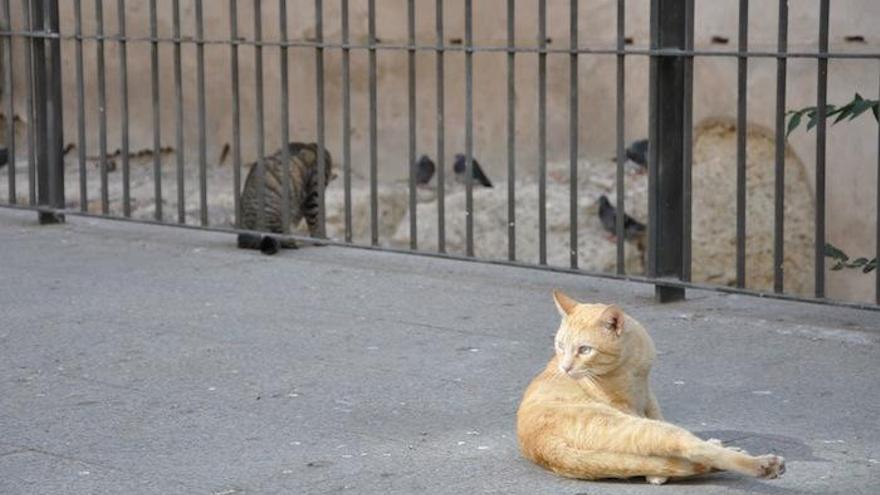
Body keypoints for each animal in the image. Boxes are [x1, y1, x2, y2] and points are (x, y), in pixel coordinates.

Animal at [512, 290, 788, 484]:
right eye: (560, 346)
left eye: (584, 350)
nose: (566, 368)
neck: (629, 363)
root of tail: (544, 446)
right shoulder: (626, 406)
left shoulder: (648, 393)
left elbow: (656, 412)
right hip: (634, 427)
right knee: (688, 450)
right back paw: (762, 464)